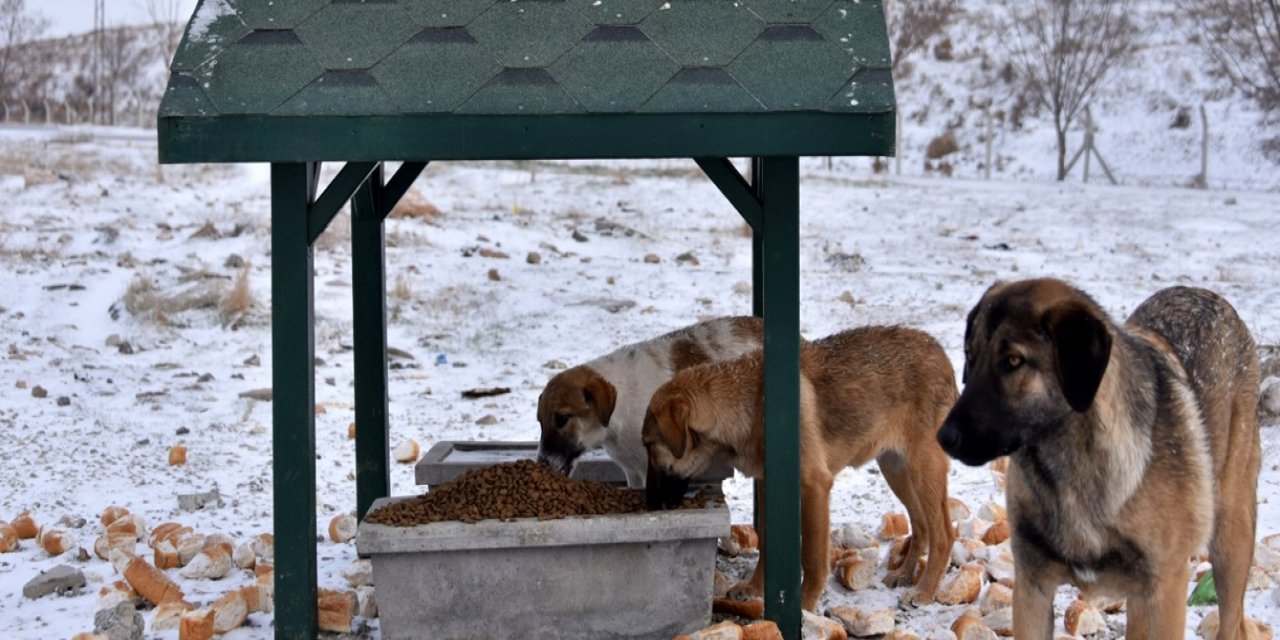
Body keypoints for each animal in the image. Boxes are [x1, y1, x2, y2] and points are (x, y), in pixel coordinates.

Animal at [645, 327, 957, 611]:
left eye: (648, 446)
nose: (648, 505)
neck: (748, 403)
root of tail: (941, 353)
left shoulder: (814, 488)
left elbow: (812, 558)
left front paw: (805, 607)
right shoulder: (767, 484)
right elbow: (767, 543)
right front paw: (755, 588)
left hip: (922, 469)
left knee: (943, 534)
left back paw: (924, 592)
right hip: (896, 470)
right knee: (921, 525)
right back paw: (905, 575)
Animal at [936, 279, 1264, 640]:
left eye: (1013, 361)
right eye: (970, 356)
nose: (944, 437)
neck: (1069, 475)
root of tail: (1203, 293)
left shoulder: (1167, 589)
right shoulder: (1032, 588)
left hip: (1230, 540)